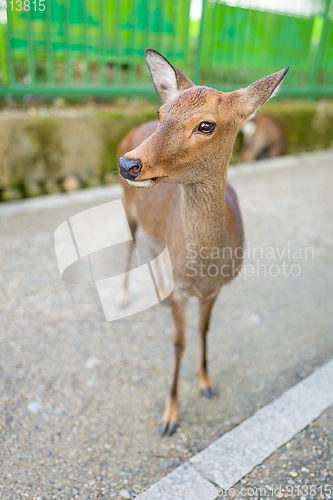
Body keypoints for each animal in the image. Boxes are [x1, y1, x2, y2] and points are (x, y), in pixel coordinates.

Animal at [116, 48, 288, 436]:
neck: (204, 267)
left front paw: (207, 383)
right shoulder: (184, 291)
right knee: (130, 246)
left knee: (150, 251)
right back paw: (123, 297)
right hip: (126, 206)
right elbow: (178, 344)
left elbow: (204, 330)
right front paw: (169, 417)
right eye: (161, 113)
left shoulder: (216, 288)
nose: (128, 164)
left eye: (206, 125)